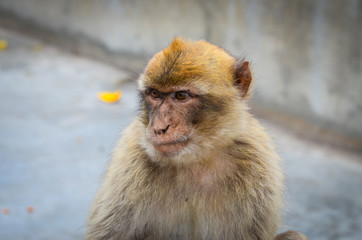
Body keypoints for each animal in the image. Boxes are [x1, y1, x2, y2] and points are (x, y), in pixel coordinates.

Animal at [85, 37, 308, 240]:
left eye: (181, 96)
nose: (159, 128)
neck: (195, 159)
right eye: (155, 94)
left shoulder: (256, 165)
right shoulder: (130, 161)